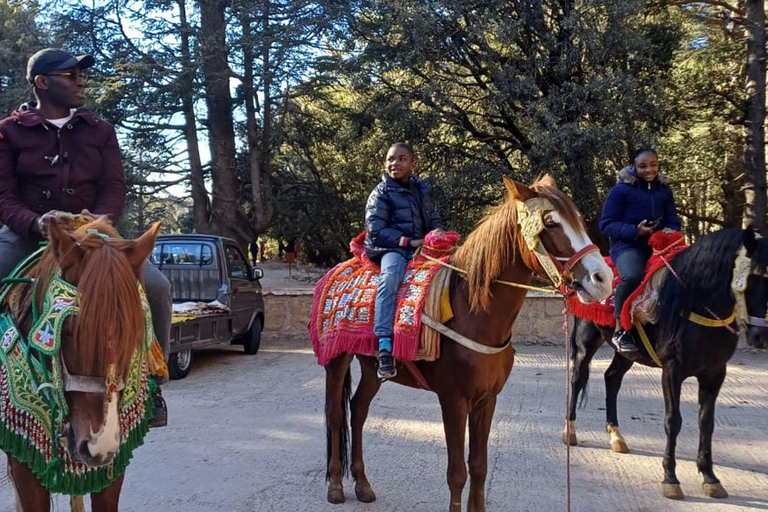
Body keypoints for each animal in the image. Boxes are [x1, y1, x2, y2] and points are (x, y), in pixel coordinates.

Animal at [322, 174, 612, 510]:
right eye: (550, 222)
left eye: (577, 218)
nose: (603, 278)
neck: (472, 311)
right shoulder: (453, 400)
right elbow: (457, 472)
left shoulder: (487, 400)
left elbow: (479, 466)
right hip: (337, 360)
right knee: (335, 414)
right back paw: (335, 486)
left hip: (371, 369)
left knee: (358, 410)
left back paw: (362, 484)